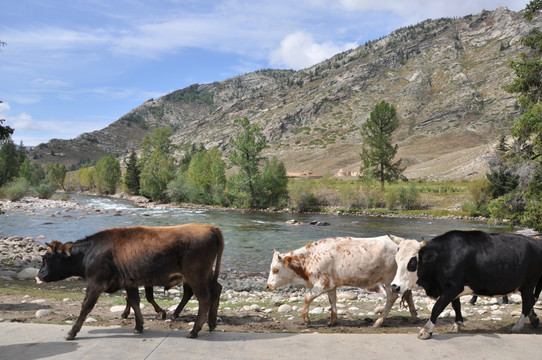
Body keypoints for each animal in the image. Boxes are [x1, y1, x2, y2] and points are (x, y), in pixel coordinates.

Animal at [36, 222, 224, 340]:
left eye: (47, 258)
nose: (39, 275)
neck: (91, 252)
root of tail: (210, 227)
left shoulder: (96, 283)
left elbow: (86, 306)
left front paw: (72, 332)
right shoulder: (130, 282)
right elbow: (134, 301)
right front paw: (139, 326)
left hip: (196, 275)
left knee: (204, 299)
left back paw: (194, 330)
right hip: (205, 275)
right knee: (216, 290)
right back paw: (211, 323)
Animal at [266, 235, 416, 328]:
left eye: (275, 269)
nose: (268, 286)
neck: (309, 259)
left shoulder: (322, 283)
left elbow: (307, 297)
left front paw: (306, 319)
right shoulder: (331, 284)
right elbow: (332, 300)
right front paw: (332, 320)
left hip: (390, 279)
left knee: (392, 297)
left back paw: (378, 322)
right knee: (408, 294)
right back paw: (414, 316)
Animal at [394, 232, 542, 338]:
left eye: (412, 262)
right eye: (396, 260)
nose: (395, 286)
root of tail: (535, 241)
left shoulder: (452, 288)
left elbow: (437, 307)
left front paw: (426, 330)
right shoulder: (454, 289)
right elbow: (456, 305)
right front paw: (458, 324)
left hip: (528, 283)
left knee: (528, 302)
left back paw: (518, 326)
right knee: (531, 300)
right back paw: (533, 319)